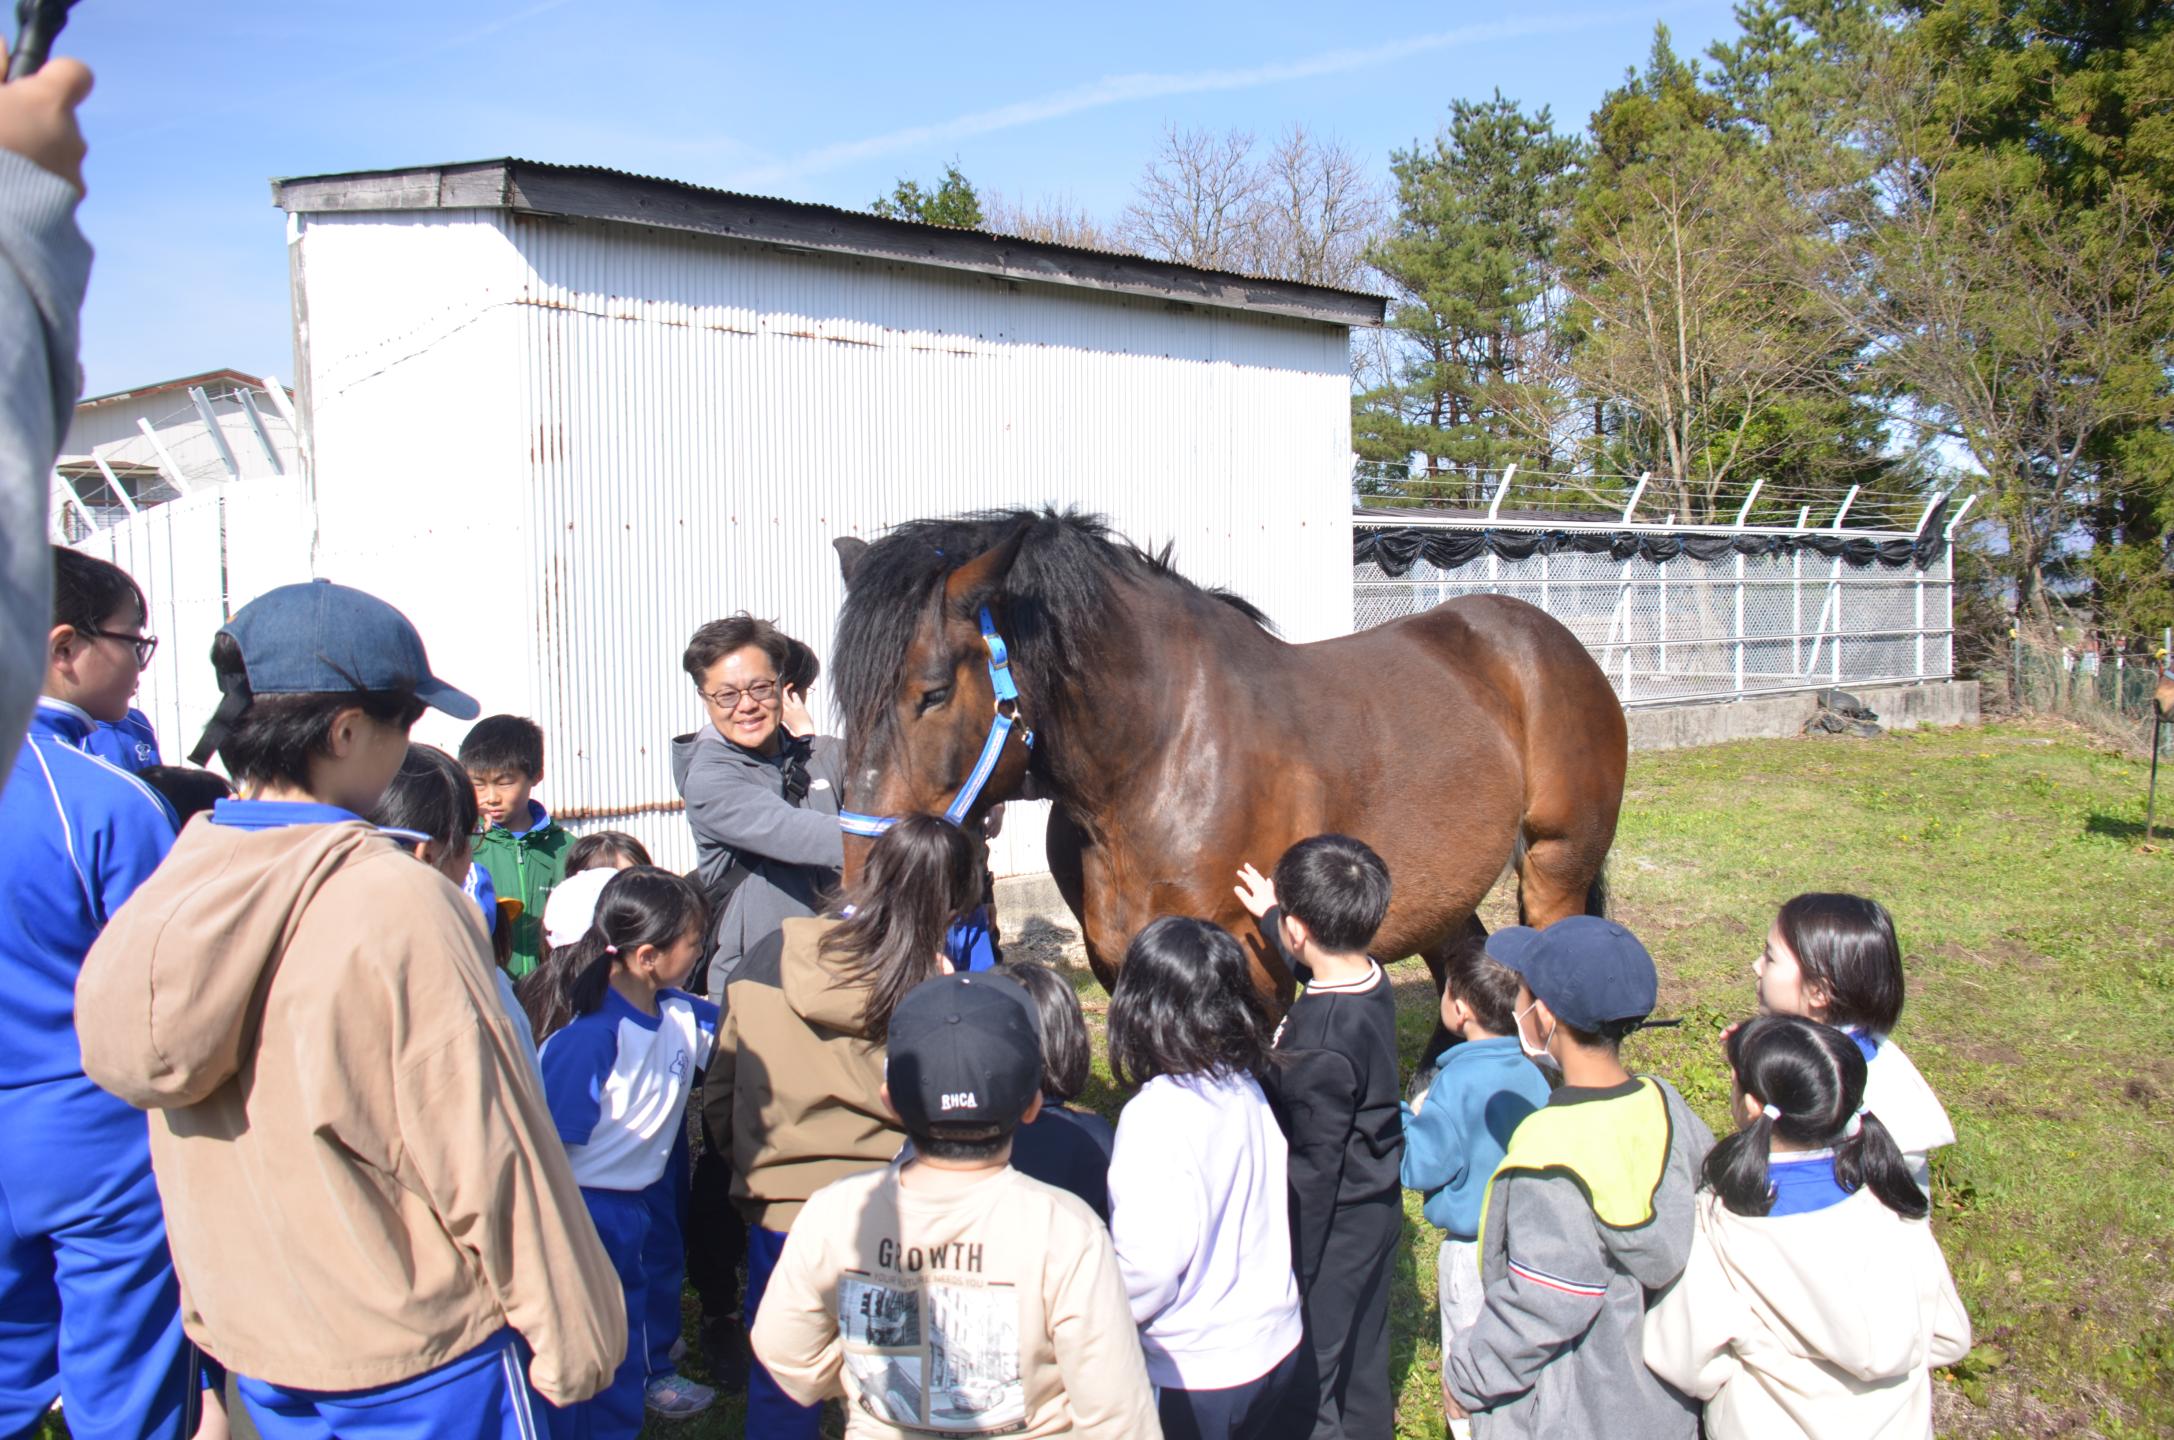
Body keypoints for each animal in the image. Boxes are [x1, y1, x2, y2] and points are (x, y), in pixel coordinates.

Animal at [827, 508, 1628, 1018]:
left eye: (932, 691)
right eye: (846, 696)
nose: (862, 887)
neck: (1155, 758)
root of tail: (1550, 637)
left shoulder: (1258, 971)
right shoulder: (1120, 964)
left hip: (1557, 865)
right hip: (1444, 887)